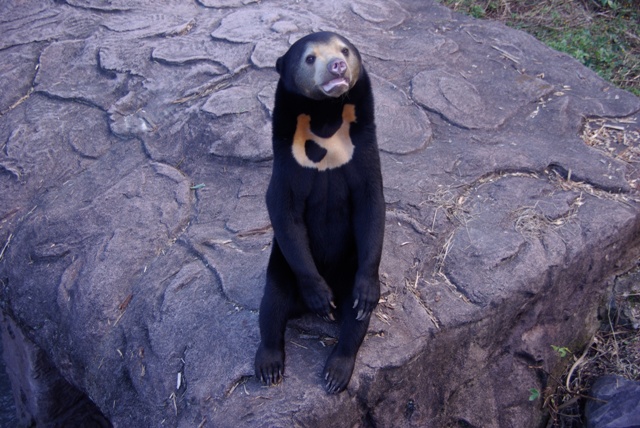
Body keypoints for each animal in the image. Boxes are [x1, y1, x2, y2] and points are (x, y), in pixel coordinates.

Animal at [255, 31, 384, 394]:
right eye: (310, 58)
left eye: (344, 50)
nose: (338, 66)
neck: (327, 119)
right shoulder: (288, 159)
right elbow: (282, 209)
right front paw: (319, 298)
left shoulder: (363, 149)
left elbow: (372, 204)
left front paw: (366, 293)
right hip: (281, 266)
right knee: (272, 304)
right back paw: (270, 365)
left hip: (349, 268)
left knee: (356, 320)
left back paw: (337, 370)